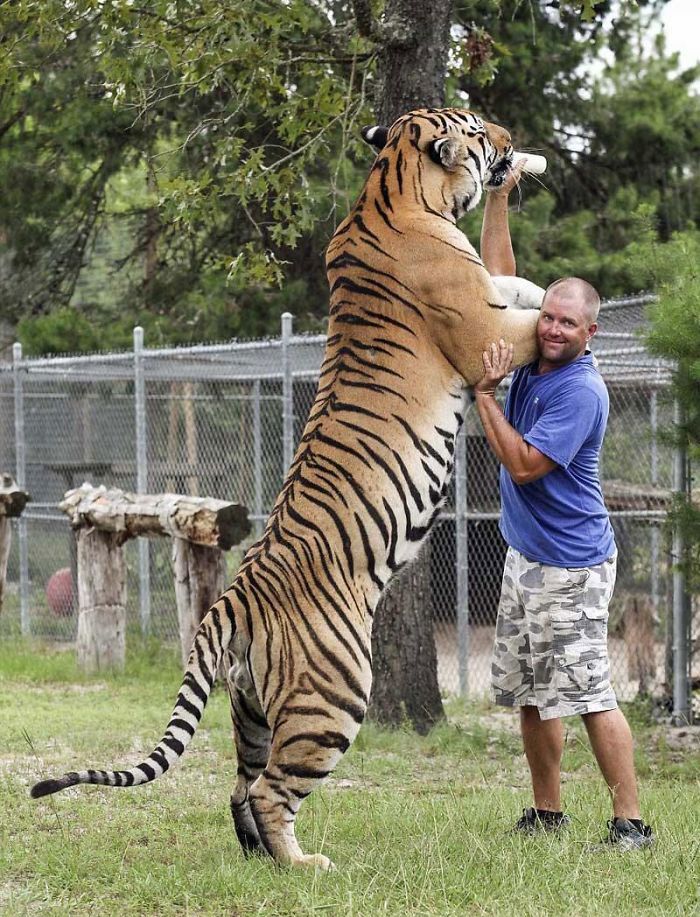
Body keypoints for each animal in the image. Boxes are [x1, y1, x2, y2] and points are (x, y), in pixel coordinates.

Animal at [31, 108, 541, 870]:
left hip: (251, 710)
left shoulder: (489, 294)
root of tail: (231, 600)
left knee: (240, 785)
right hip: (333, 697)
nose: (511, 141)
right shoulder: (482, 330)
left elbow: (520, 286)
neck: (393, 187)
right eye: (480, 128)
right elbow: (531, 319)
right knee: (272, 789)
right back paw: (303, 865)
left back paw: (260, 861)